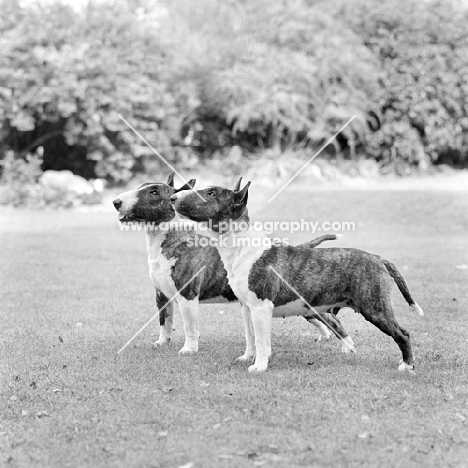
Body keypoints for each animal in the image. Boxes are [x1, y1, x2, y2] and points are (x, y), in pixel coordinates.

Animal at [113, 176, 348, 354]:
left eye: (153, 192)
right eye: (142, 186)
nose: (116, 202)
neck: (171, 238)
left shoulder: (188, 295)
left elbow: (189, 326)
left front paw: (189, 349)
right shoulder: (161, 294)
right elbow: (165, 322)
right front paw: (162, 343)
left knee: (333, 320)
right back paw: (325, 337)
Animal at [172, 179, 424, 372]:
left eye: (211, 193)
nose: (174, 198)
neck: (241, 247)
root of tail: (378, 258)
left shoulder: (261, 307)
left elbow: (262, 340)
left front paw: (259, 366)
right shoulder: (246, 307)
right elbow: (250, 337)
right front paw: (247, 358)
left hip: (374, 307)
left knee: (403, 334)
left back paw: (407, 365)